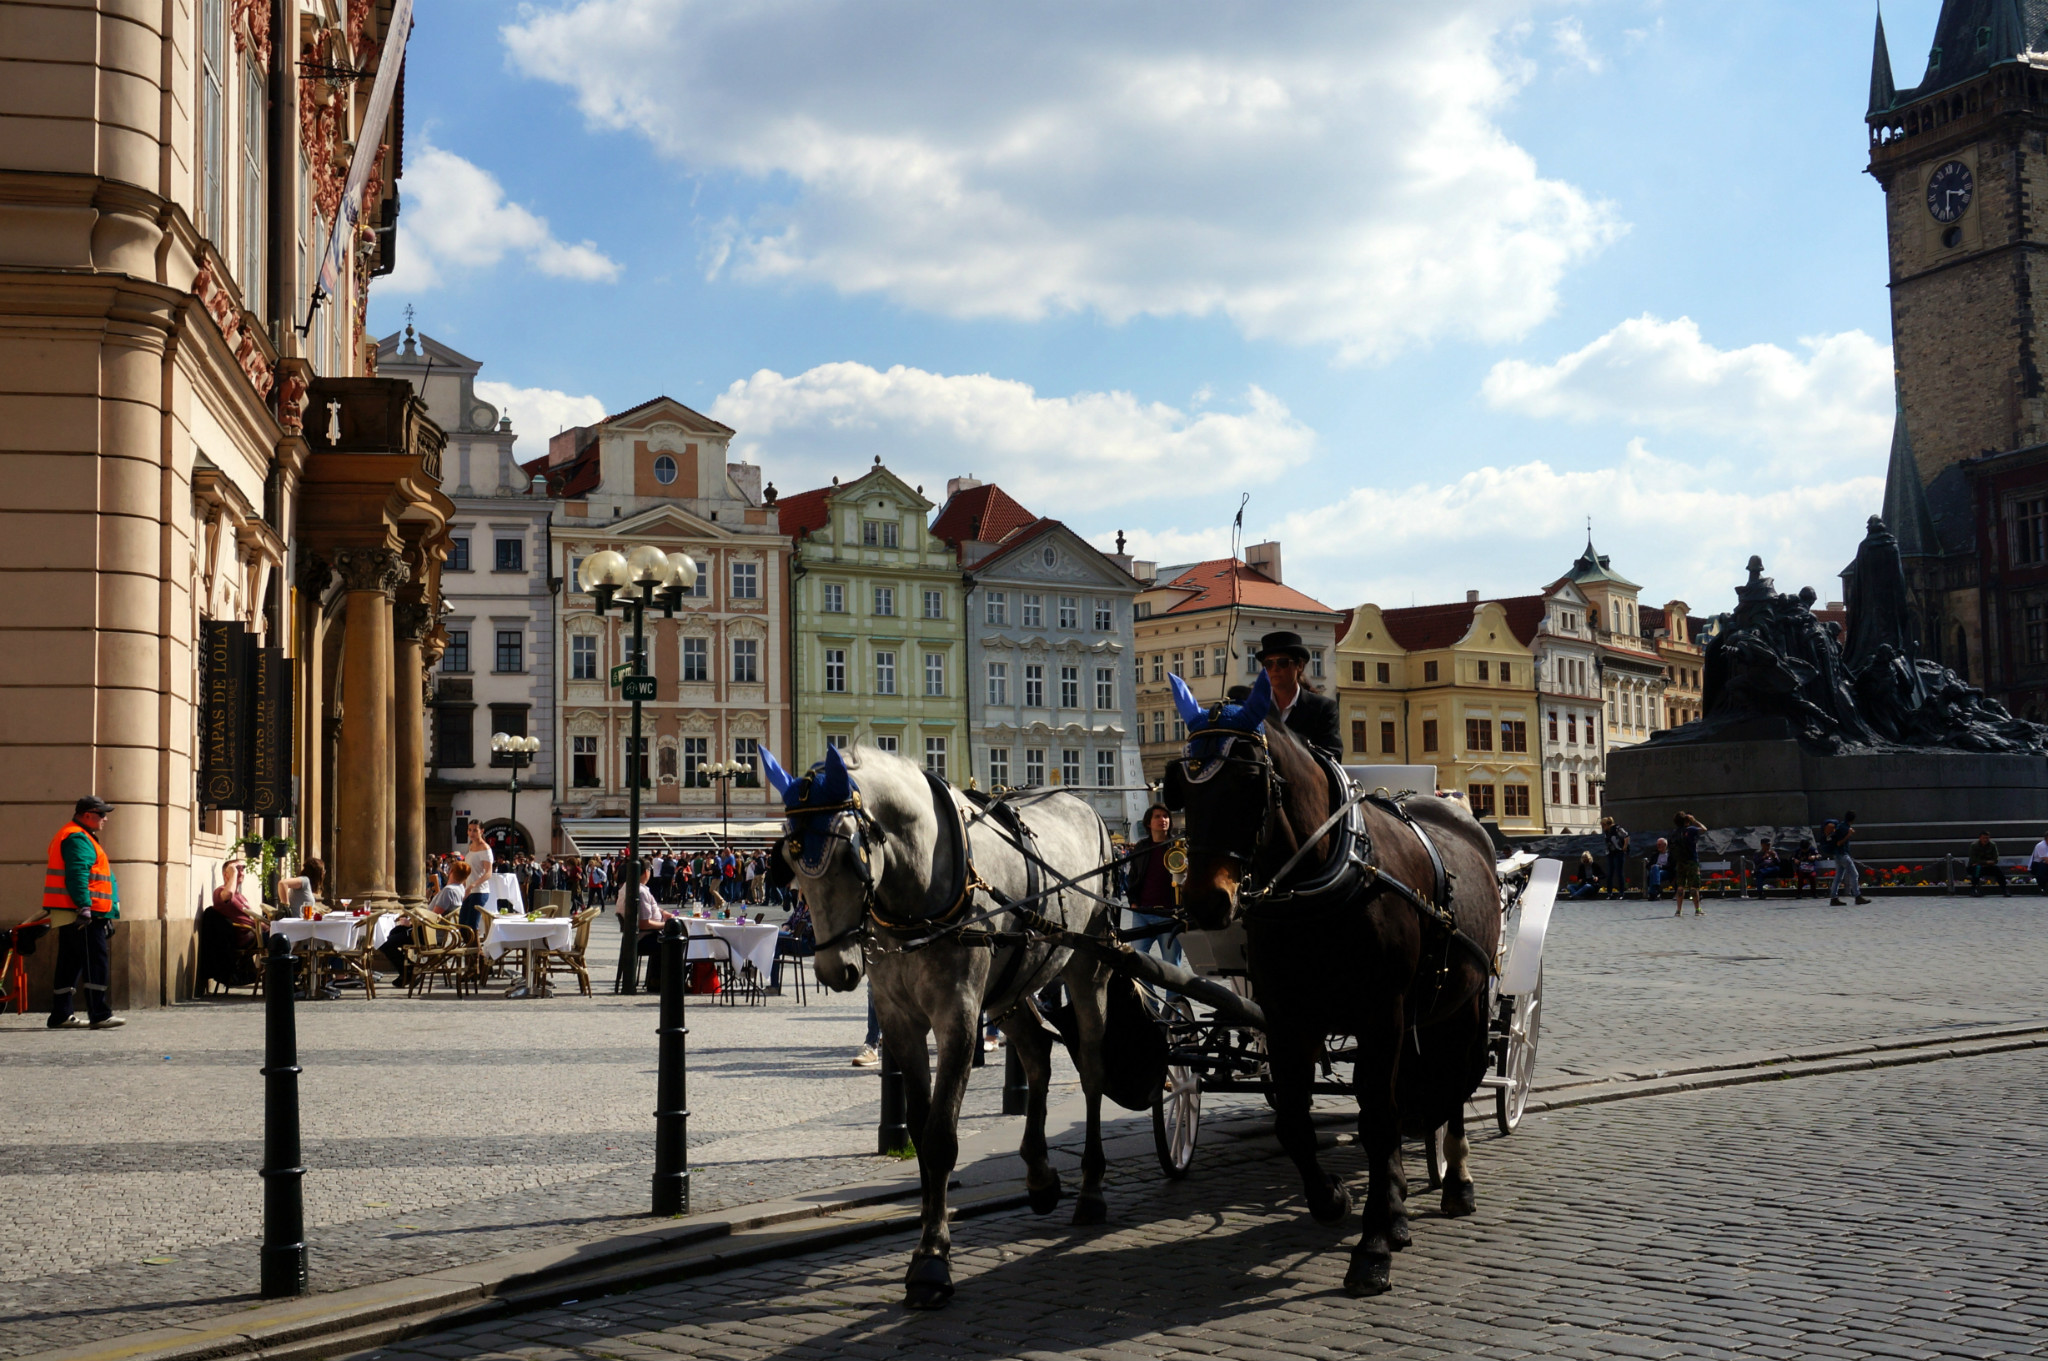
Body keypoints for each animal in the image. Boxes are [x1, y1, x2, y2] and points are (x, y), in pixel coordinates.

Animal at [770, 736, 1122, 1309]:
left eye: (849, 855)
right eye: (791, 861)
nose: (834, 970)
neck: (917, 890)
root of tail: (1086, 807)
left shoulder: (957, 1016)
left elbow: (940, 1137)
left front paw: (931, 1260)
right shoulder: (901, 1021)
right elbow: (917, 1128)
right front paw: (928, 1232)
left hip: (1088, 968)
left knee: (1091, 1070)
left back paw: (1090, 1187)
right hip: (1012, 985)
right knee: (1038, 1055)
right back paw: (1040, 1176)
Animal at [1163, 675, 1499, 1293]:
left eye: (1249, 781)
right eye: (1183, 788)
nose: (1204, 902)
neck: (1324, 876)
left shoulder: (1382, 1014)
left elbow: (1378, 1117)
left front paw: (1372, 1247)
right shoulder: (1288, 1016)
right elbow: (1296, 1119)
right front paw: (1336, 1200)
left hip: (1463, 1003)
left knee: (1456, 1083)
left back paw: (1456, 1180)